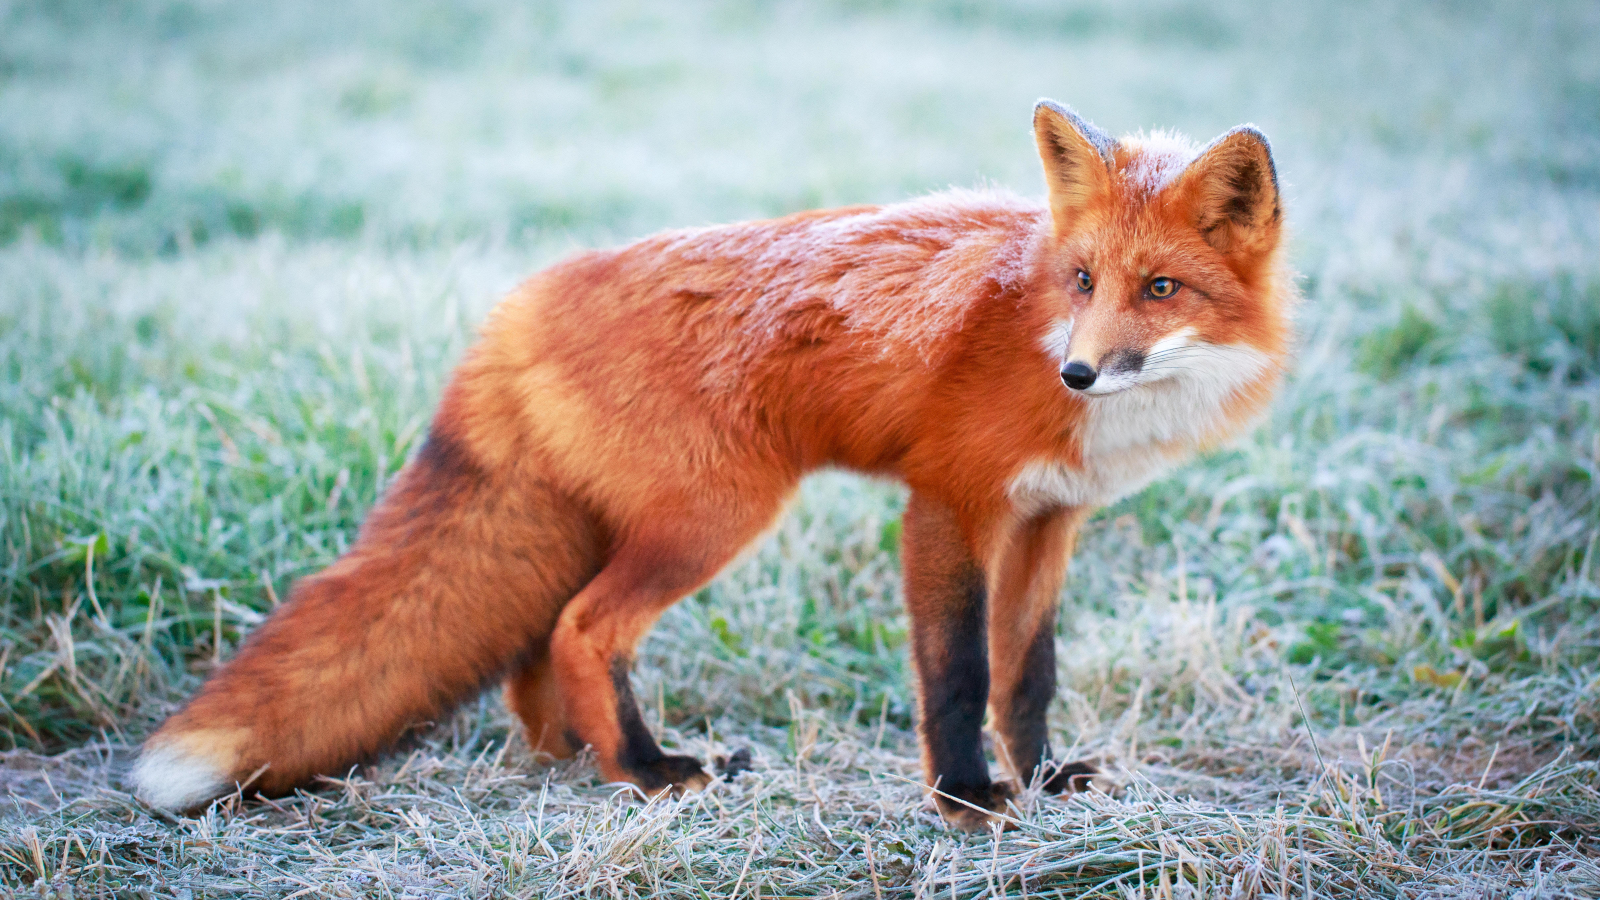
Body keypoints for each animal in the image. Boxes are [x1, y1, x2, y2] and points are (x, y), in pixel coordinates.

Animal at [134, 99, 1286, 826]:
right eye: (1082, 279)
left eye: (1160, 289)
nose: (1079, 373)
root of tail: (522, 300)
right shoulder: (947, 506)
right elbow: (959, 674)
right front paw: (965, 802)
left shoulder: (1050, 519)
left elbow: (1028, 674)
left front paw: (1042, 780)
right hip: (712, 519)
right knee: (581, 629)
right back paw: (649, 773)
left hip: (616, 528)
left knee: (531, 651)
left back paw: (578, 759)